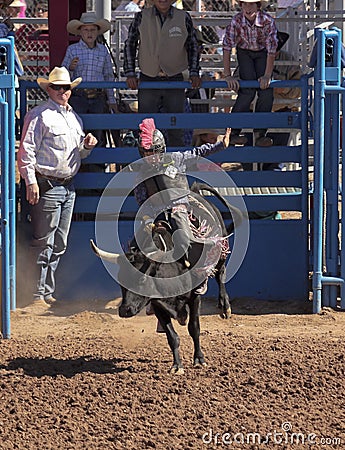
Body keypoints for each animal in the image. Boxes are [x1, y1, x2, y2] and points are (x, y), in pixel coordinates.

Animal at [90, 181, 243, 374]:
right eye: (120, 281)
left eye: (142, 279)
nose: (124, 310)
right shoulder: (157, 304)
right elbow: (172, 336)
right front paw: (177, 366)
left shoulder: (194, 297)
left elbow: (194, 328)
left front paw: (199, 359)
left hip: (221, 251)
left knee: (221, 273)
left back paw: (224, 306)